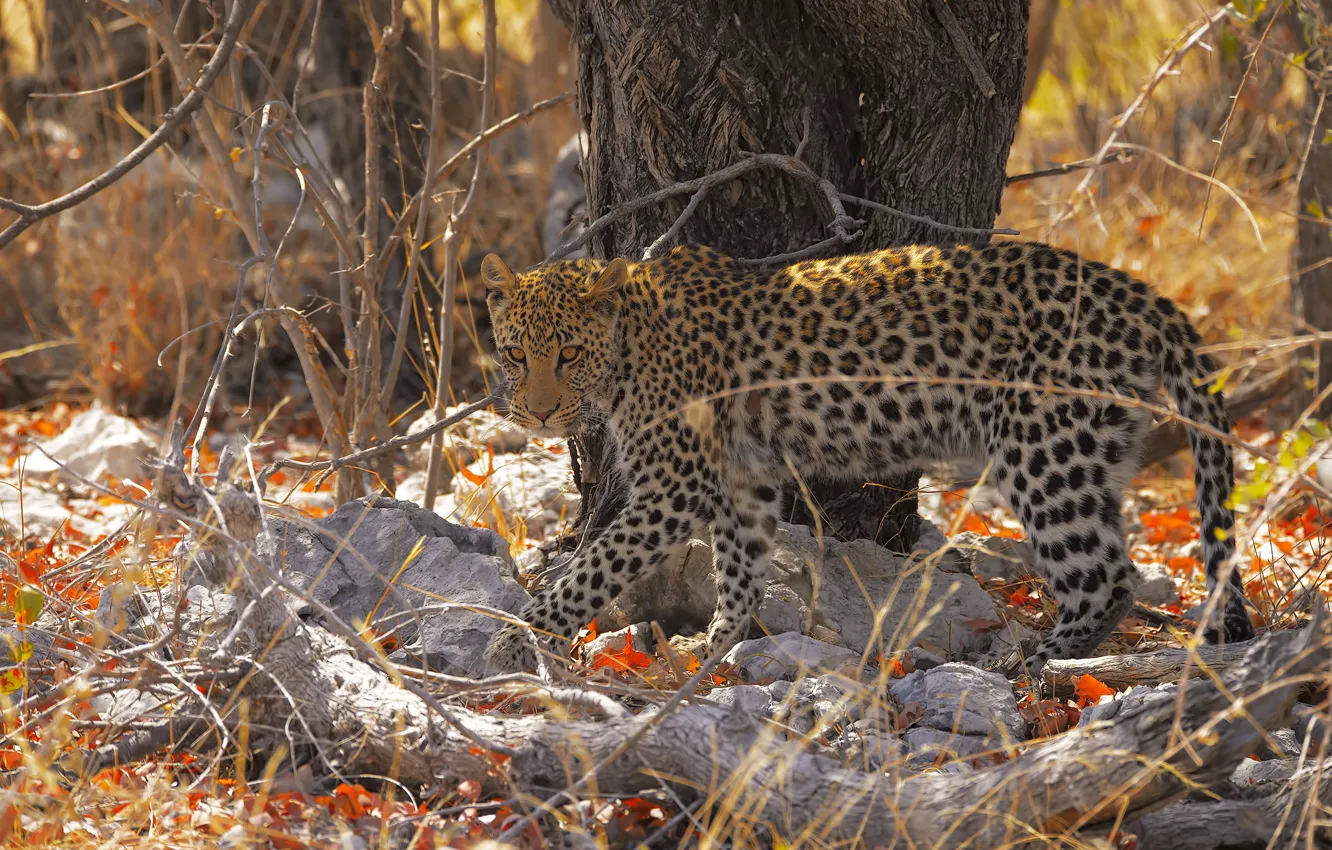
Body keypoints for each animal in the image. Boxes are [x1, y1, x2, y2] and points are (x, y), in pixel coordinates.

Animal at [479, 242, 1255, 675]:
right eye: (516, 353)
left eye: (568, 354)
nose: (538, 412)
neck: (629, 348)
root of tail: (1142, 297)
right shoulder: (744, 480)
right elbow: (739, 573)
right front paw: (713, 651)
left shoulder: (676, 486)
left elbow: (589, 572)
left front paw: (513, 644)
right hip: (1092, 447)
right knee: (1114, 568)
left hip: (1044, 449)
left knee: (1103, 574)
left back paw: (1031, 661)